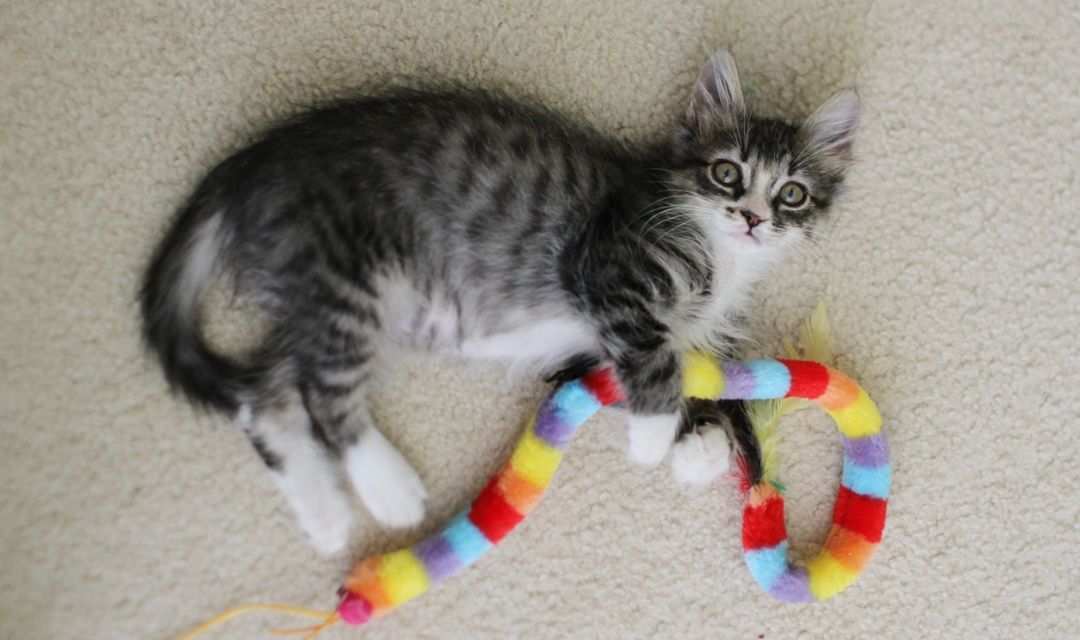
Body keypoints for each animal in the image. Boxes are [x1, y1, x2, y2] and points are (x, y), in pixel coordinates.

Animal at [139, 49, 859, 552]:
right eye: (727, 173)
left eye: (792, 193)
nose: (753, 219)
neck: (719, 255)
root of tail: (257, 162)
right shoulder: (607, 273)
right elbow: (655, 361)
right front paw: (657, 439)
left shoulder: (593, 347)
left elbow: (660, 374)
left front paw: (699, 445)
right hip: (345, 275)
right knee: (321, 392)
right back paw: (386, 486)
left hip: (308, 296)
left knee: (265, 400)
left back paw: (327, 514)